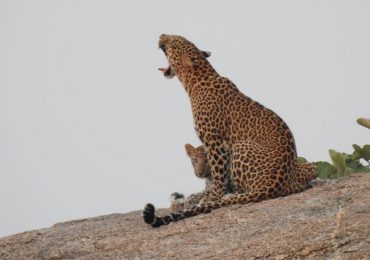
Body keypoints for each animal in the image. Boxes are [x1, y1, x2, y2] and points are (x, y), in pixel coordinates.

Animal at [143, 35, 316, 228]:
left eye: (174, 41)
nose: (161, 35)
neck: (193, 82)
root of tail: (275, 184)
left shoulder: (215, 142)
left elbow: (217, 176)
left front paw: (211, 198)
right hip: (309, 167)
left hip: (240, 147)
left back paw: (229, 196)